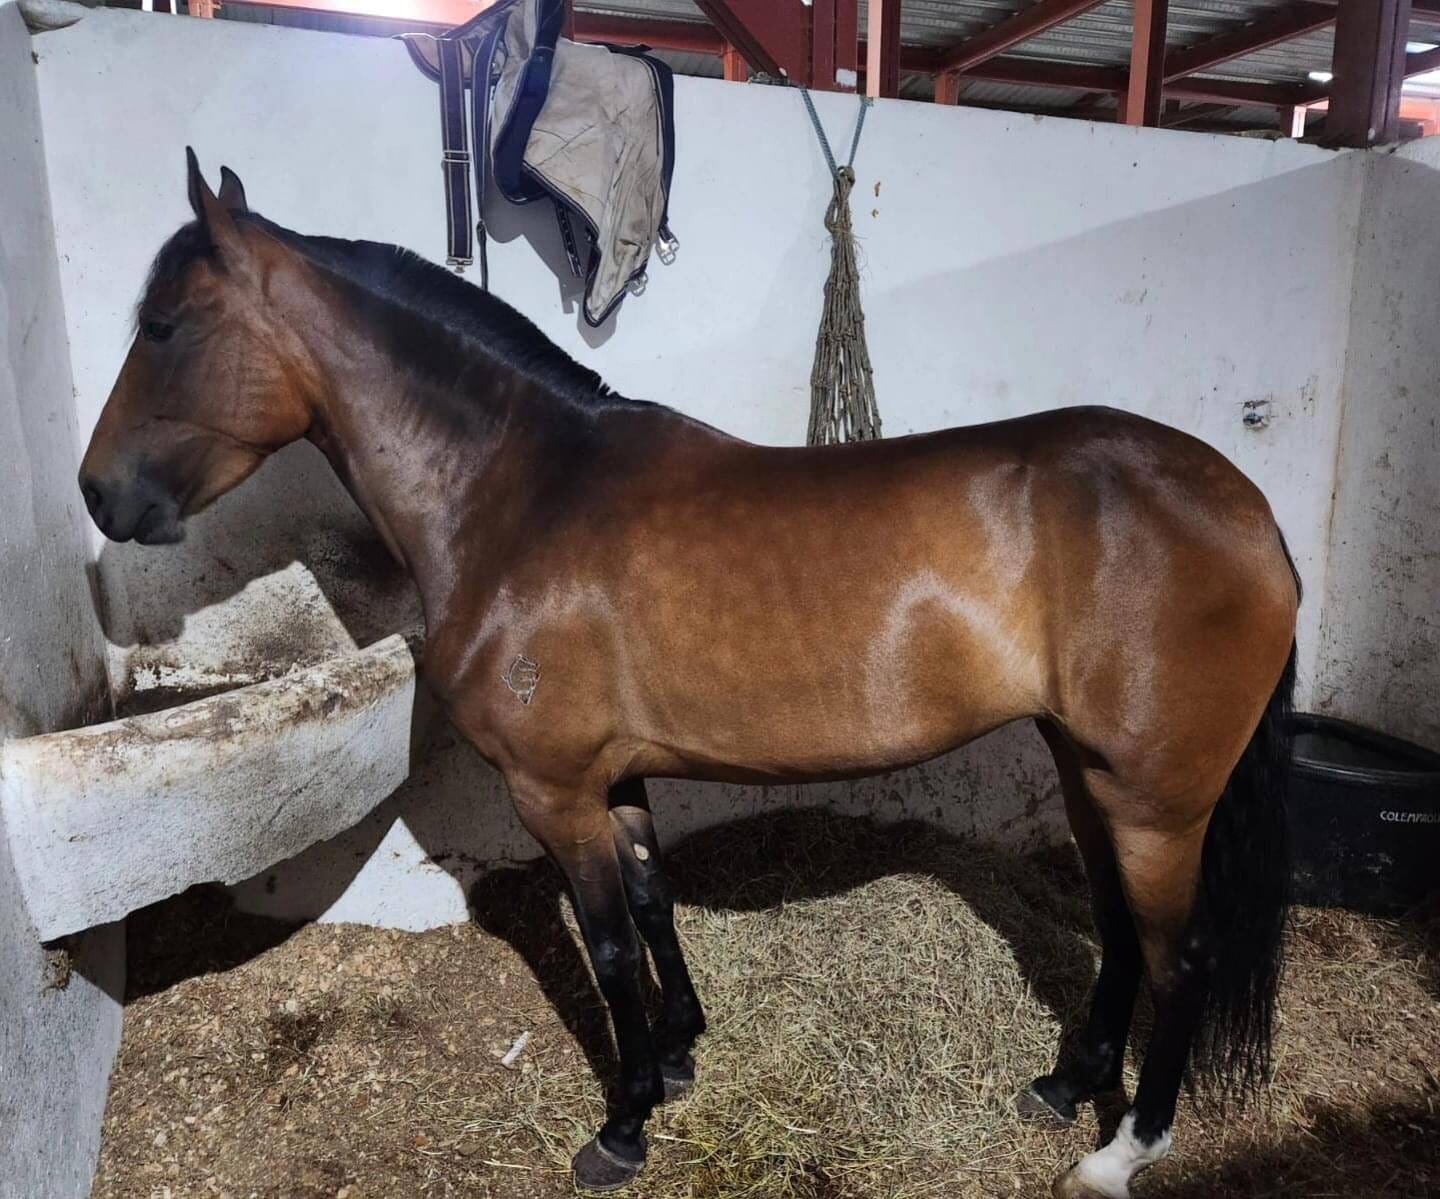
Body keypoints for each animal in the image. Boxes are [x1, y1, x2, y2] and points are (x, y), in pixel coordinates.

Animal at [79, 151, 1299, 1198]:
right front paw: (675, 1056)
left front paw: (621, 1127)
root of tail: (1246, 508)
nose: (97, 493)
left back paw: (1124, 1149)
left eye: (166, 324)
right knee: (1118, 928)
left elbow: (611, 944)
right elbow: (653, 903)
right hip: (1089, 769)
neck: (519, 493)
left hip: (1155, 798)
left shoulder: (553, 789)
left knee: (1181, 953)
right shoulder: (613, 777)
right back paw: (1066, 1083)